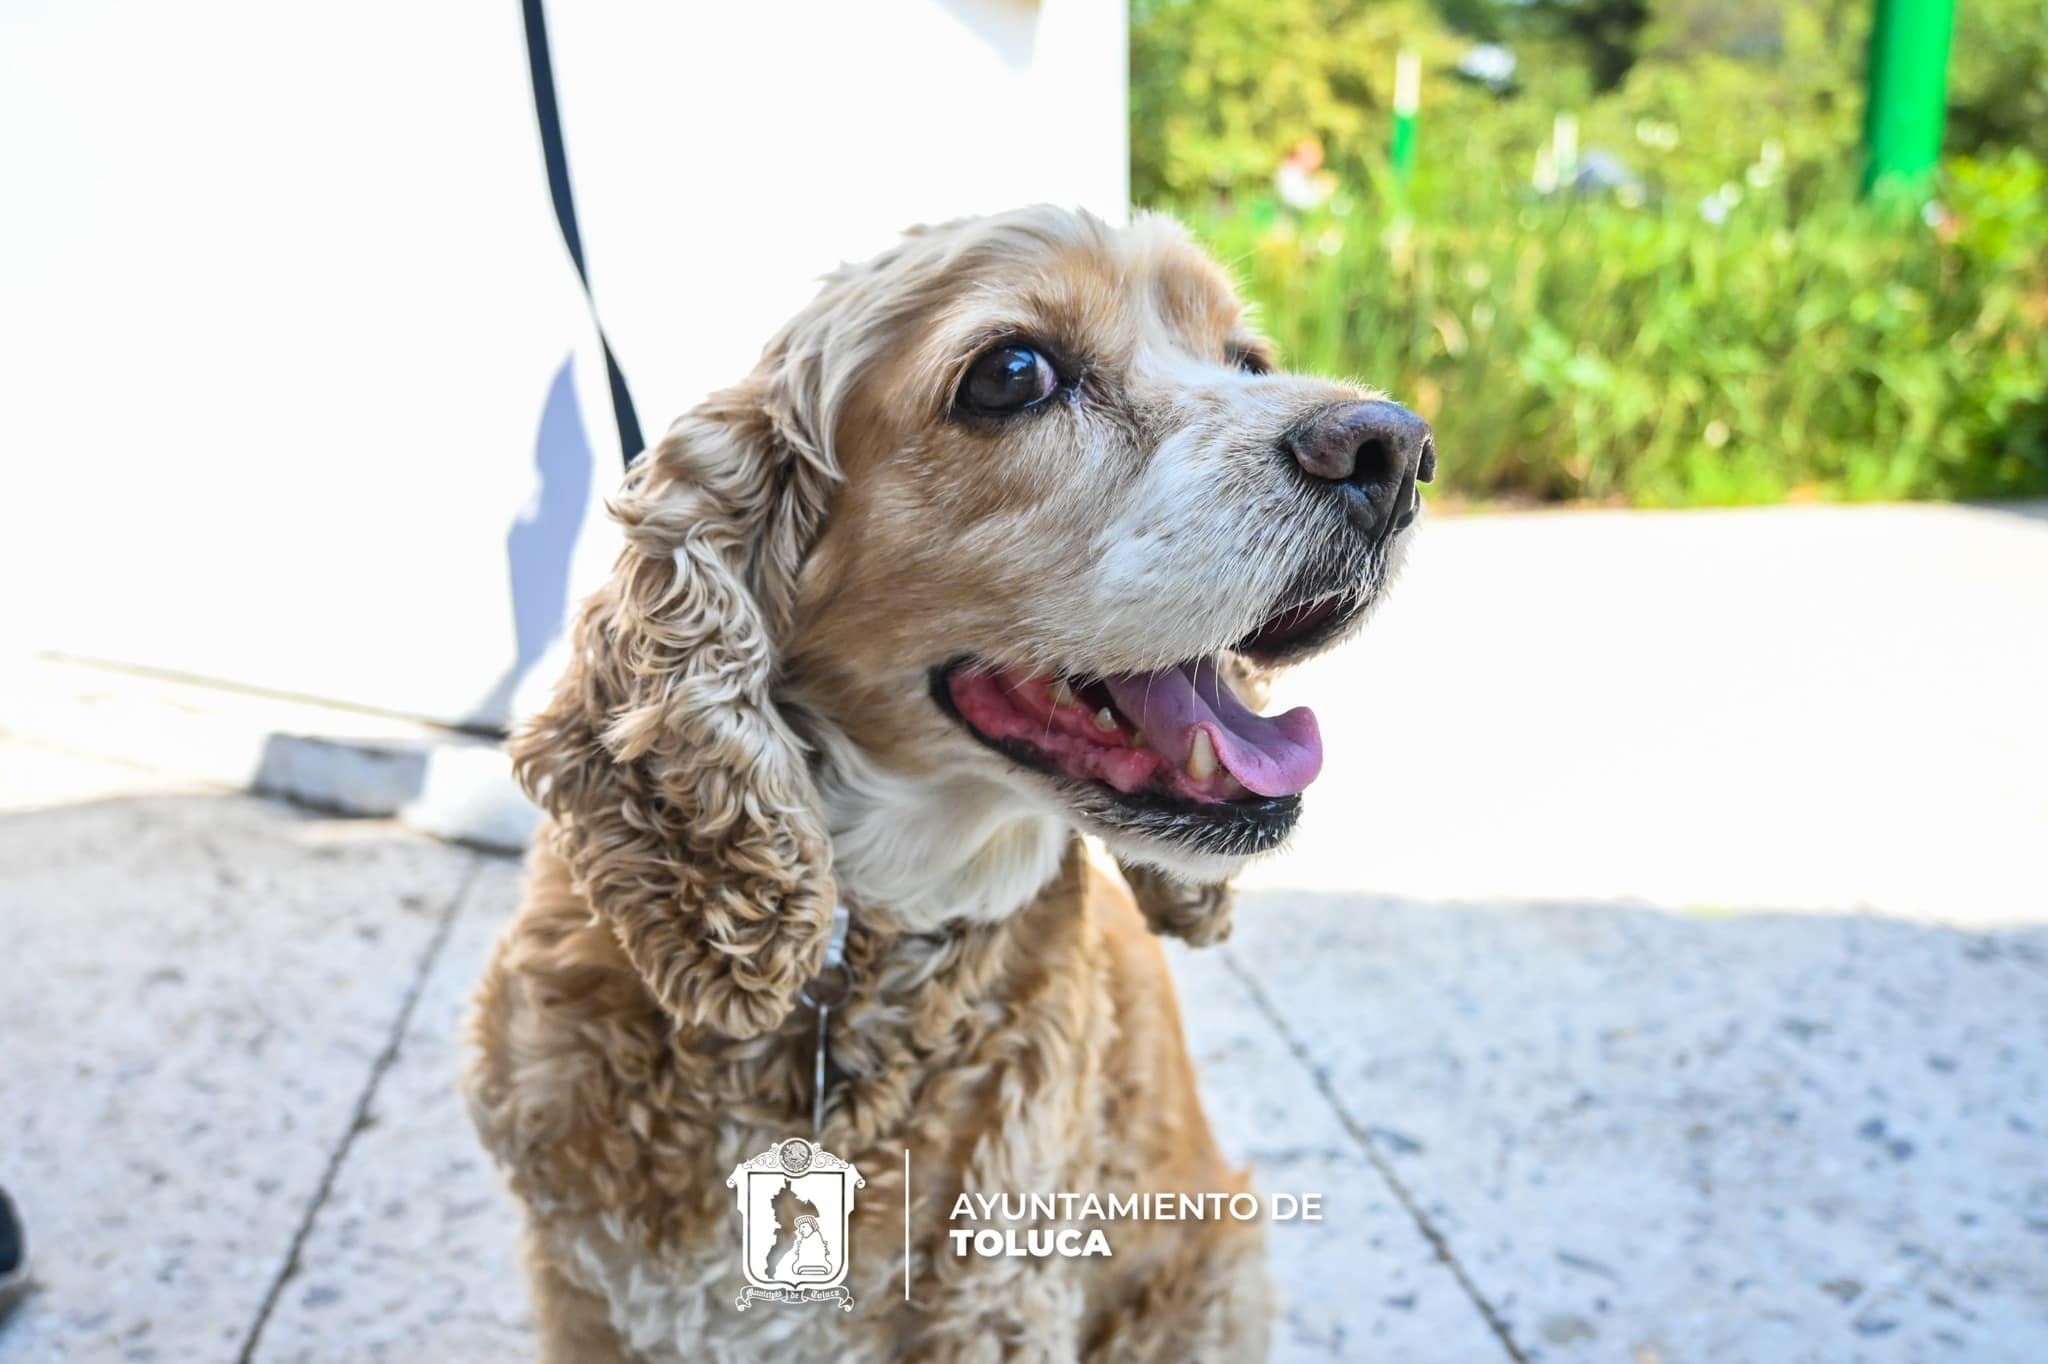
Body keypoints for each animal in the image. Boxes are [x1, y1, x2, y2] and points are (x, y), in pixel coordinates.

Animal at [466, 204, 1433, 1359]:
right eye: (1011, 374)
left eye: (1246, 362)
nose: (1395, 447)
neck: (850, 961)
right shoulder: (588, 1291)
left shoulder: (998, 1298)